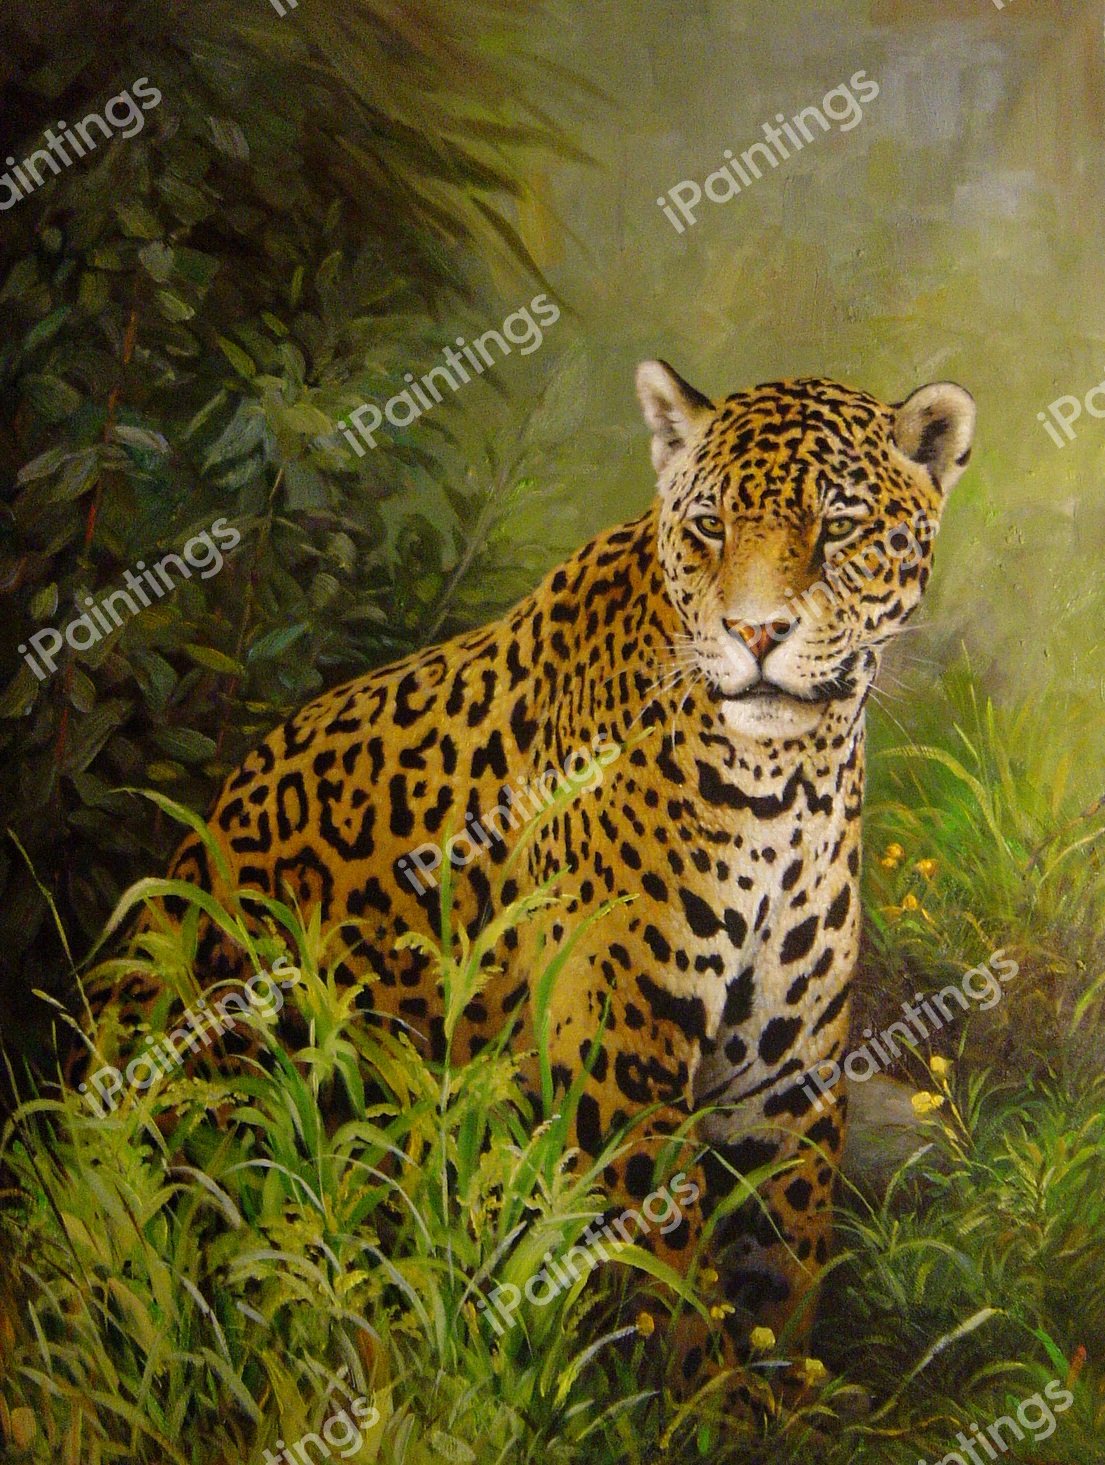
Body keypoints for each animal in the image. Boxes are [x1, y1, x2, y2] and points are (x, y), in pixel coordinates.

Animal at [83, 361, 975, 1383]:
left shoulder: (782, 1074)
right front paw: (684, 1398)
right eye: (711, 525)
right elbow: (666, 1283)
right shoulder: (619, 1057)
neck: (787, 779)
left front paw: (768, 1398)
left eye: (839, 527)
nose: (756, 633)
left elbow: (777, 1274)